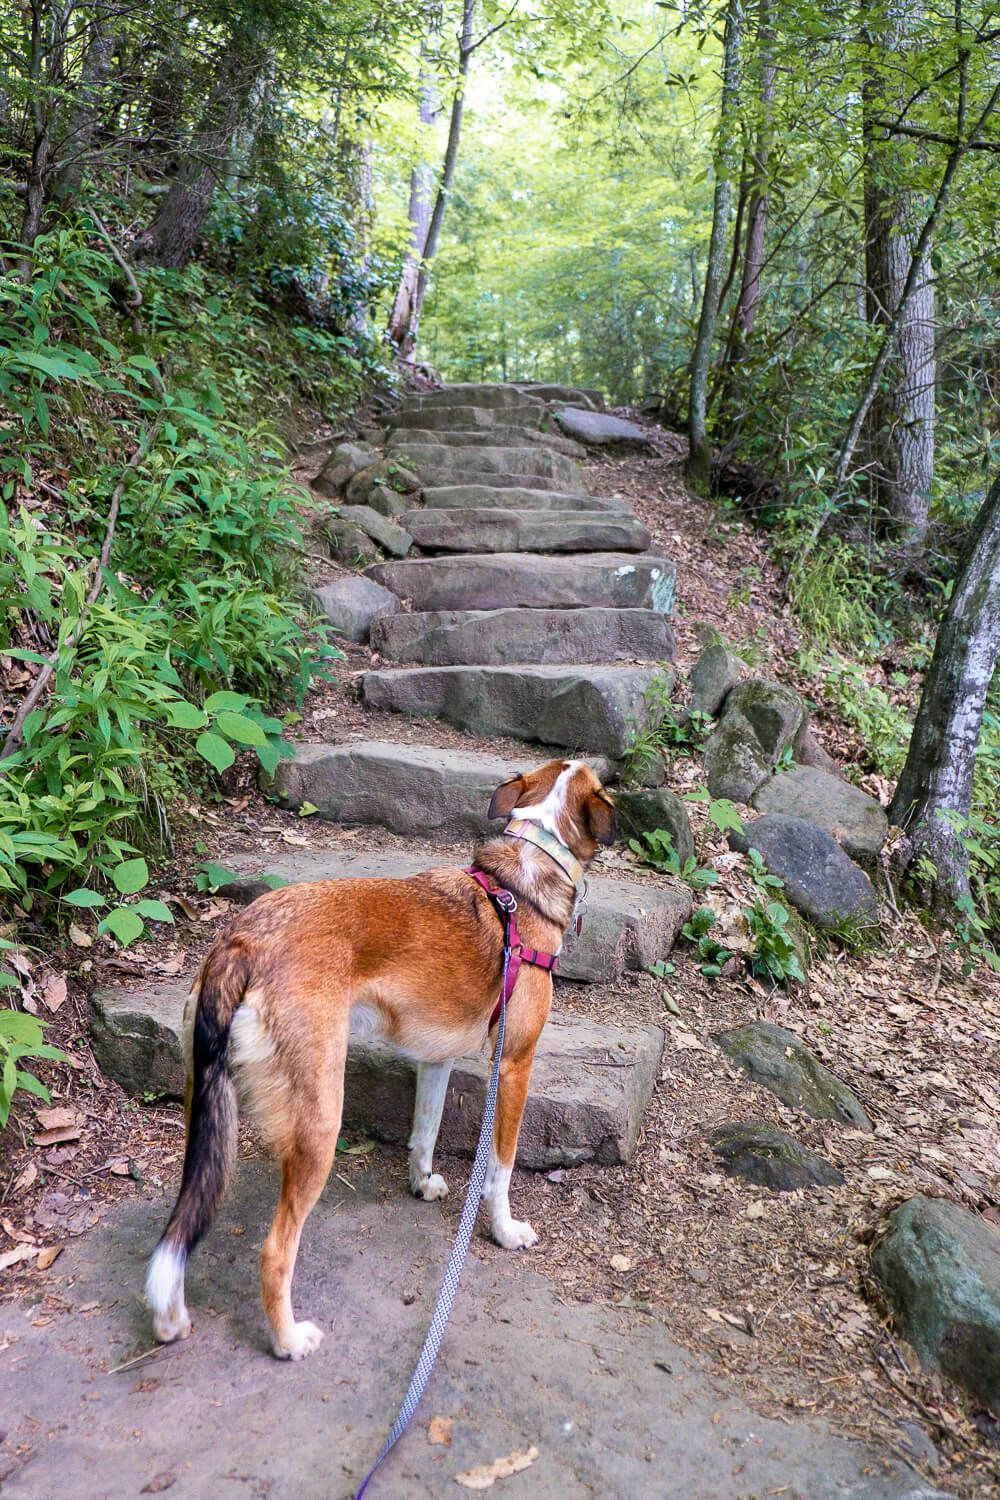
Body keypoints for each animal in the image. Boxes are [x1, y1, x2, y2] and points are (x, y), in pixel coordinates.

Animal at [146, 762, 617, 1362]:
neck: (524, 878)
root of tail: (242, 940)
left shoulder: (436, 1061)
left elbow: (425, 1132)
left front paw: (422, 1184)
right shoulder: (514, 1065)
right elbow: (501, 1169)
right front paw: (506, 1231)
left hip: (204, 1115)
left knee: (183, 1220)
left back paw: (171, 1319)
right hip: (320, 1122)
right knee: (274, 1251)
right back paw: (288, 1340)